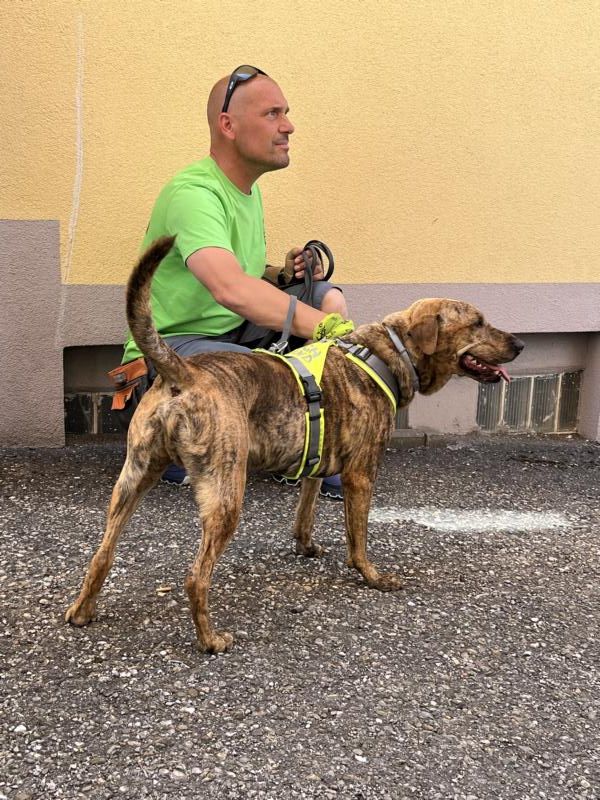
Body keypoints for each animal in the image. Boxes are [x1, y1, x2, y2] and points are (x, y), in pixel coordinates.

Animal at [66, 236, 523, 653]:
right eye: (478, 322)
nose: (521, 344)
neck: (385, 353)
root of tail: (184, 372)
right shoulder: (361, 476)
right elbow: (359, 539)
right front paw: (372, 577)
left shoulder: (317, 466)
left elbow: (306, 511)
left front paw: (305, 546)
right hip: (226, 491)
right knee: (196, 577)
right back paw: (210, 640)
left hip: (133, 478)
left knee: (102, 553)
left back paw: (82, 611)